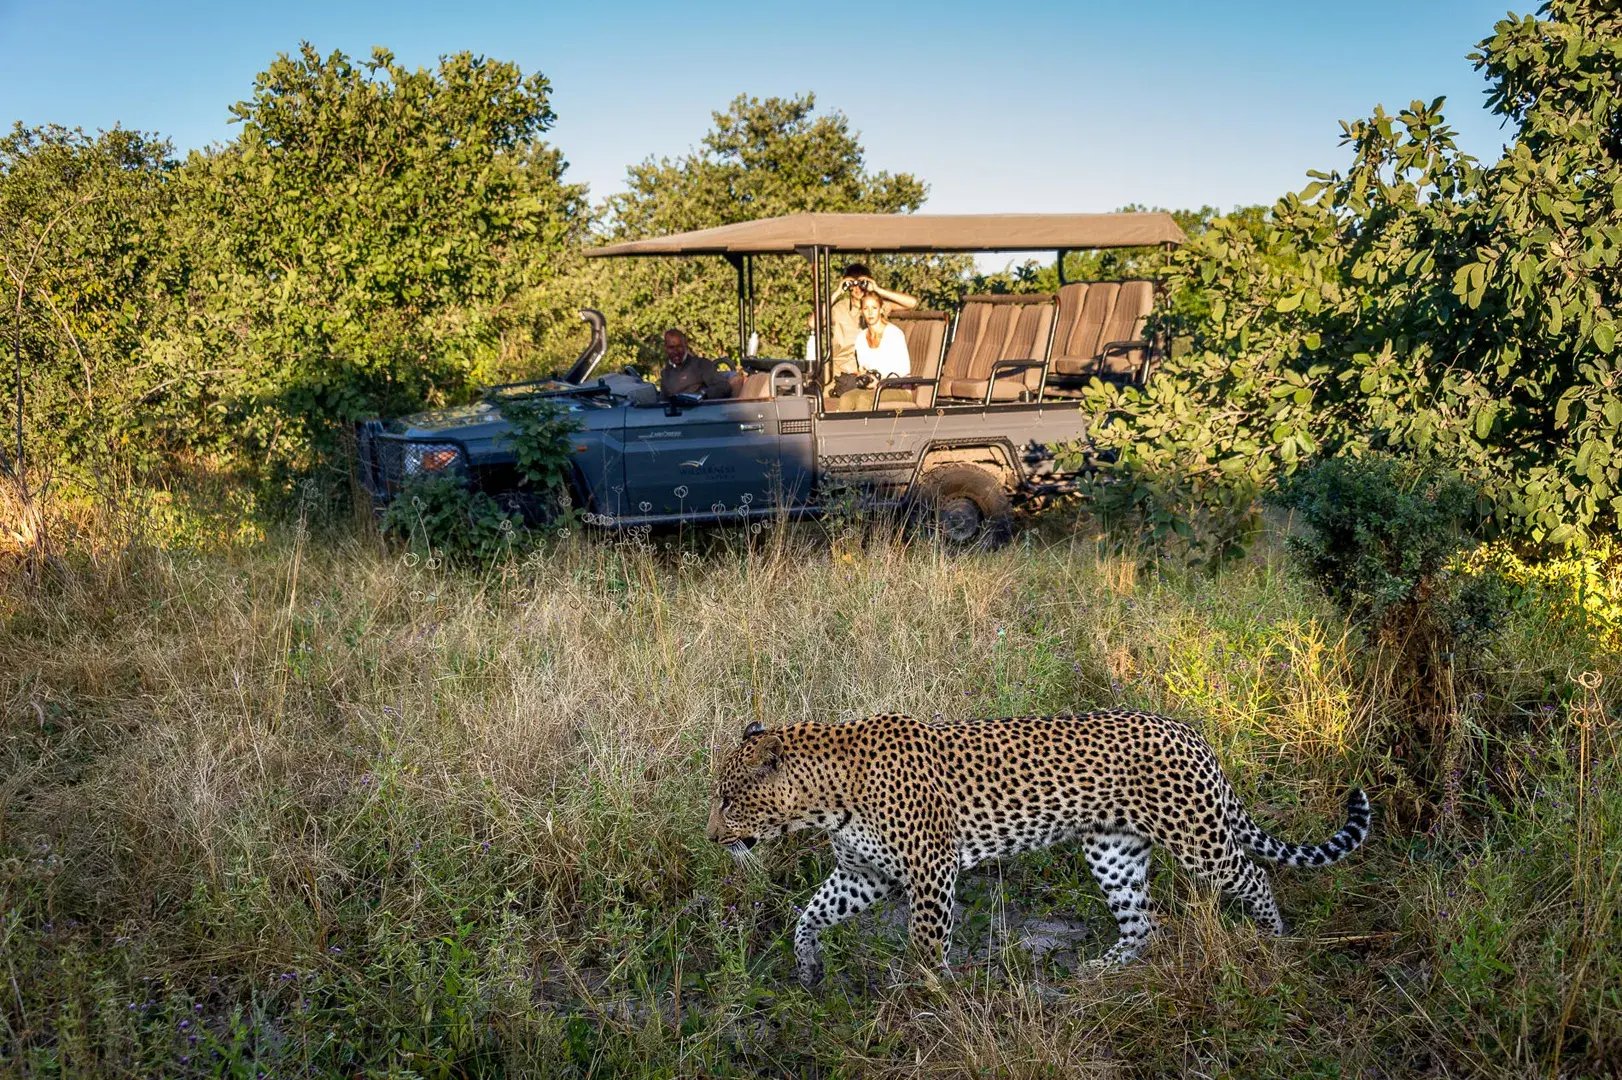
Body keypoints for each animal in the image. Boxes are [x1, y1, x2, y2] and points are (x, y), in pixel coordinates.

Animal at [707, 707, 1368, 985]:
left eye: (729, 798)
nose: (711, 837)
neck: (825, 800)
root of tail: (1188, 731)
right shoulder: (864, 873)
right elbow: (809, 914)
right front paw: (809, 966)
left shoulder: (930, 870)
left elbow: (925, 943)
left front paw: (926, 998)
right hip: (1112, 849)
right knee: (1143, 922)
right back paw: (1099, 971)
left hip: (1198, 839)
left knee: (1254, 877)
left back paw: (1275, 940)